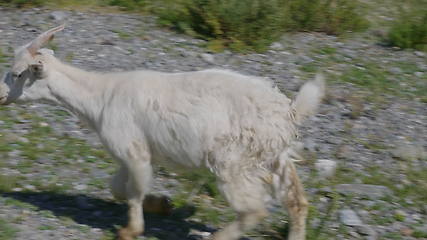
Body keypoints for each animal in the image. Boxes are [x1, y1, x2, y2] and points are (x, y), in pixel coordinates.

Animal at [0, 25, 326, 240]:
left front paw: (131, 229)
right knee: (297, 202)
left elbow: (133, 191)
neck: (99, 97)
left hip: (233, 161)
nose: (0, 95)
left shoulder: (133, 149)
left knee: (253, 210)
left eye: (17, 74)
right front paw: (162, 205)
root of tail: (288, 111)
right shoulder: (128, 152)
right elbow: (118, 187)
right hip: (274, 156)